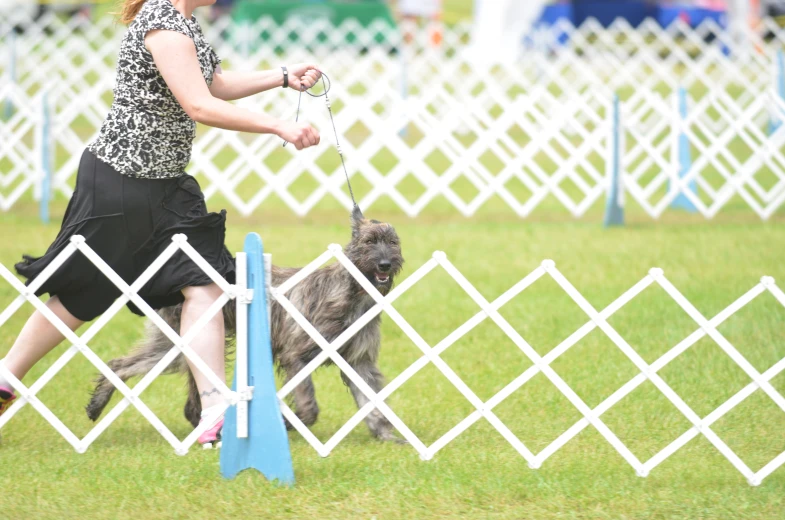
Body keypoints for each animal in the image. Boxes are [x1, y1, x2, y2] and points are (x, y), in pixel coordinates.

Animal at [85, 207, 404, 442]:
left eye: (393, 242)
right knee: (121, 365)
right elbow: (308, 404)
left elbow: (373, 400)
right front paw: (290, 423)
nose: (386, 265)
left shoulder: (359, 361)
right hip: (174, 346)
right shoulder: (297, 355)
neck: (351, 292)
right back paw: (99, 403)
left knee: (125, 367)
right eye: (369, 242)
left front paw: (386, 435)